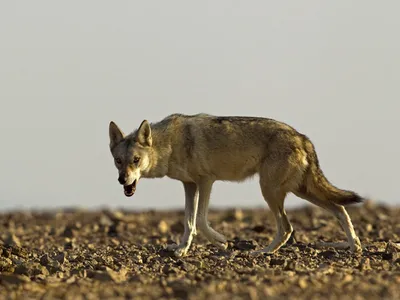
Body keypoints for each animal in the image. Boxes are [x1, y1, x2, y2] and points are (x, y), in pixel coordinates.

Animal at [108, 113, 364, 256]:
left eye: (136, 160)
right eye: (118, 161)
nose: (122, 180)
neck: (170, 144)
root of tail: (302, 137)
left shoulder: (206, 181)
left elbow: (200, 221)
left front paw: (221, 242)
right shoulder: (189, 185)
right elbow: (189, 222)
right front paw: (181, 249)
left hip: (271, 191)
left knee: (287, 228)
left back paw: (262, 253)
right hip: (299, 191)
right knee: (340, 209)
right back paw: (355, 247)